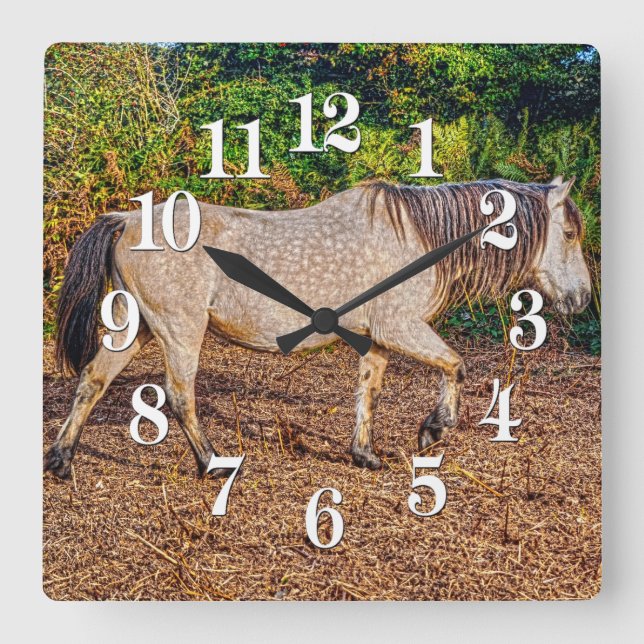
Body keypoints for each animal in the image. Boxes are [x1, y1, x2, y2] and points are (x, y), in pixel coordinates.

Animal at [45, 176, 591, 478]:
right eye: (568, 233)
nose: (582, 299)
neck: (418, 238)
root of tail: (126, 220)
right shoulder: (401, 327)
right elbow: (455, 367)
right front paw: (433, 430)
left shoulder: (377, 340)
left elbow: (368, 393)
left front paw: (365, 455)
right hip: (180, 331)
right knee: (180, 397)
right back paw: (212, 464)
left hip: (135, 327)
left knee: (93, 379)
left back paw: (61, 461)